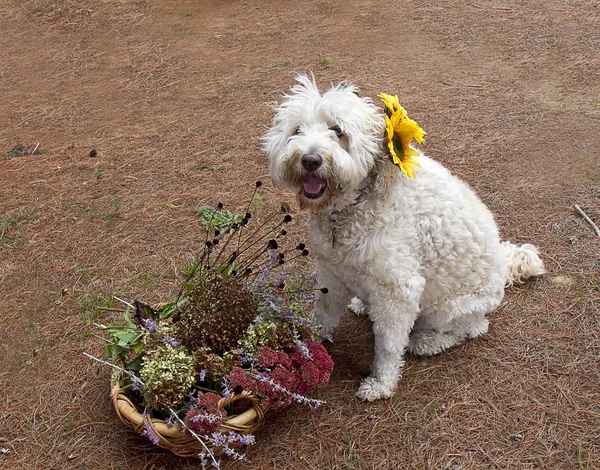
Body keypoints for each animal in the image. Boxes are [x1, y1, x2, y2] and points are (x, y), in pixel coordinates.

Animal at [262, 75, 544, 402]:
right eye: (296, 131)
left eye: (338, 131)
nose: (309, 160)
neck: (353, 207)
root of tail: (503, 265)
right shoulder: (331, 273)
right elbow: (323, 315)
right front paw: (307, 349)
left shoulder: (399, 289)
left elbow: (388, 344)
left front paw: (381, 383)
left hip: (449, 309)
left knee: (473, 328)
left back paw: (428, 342)